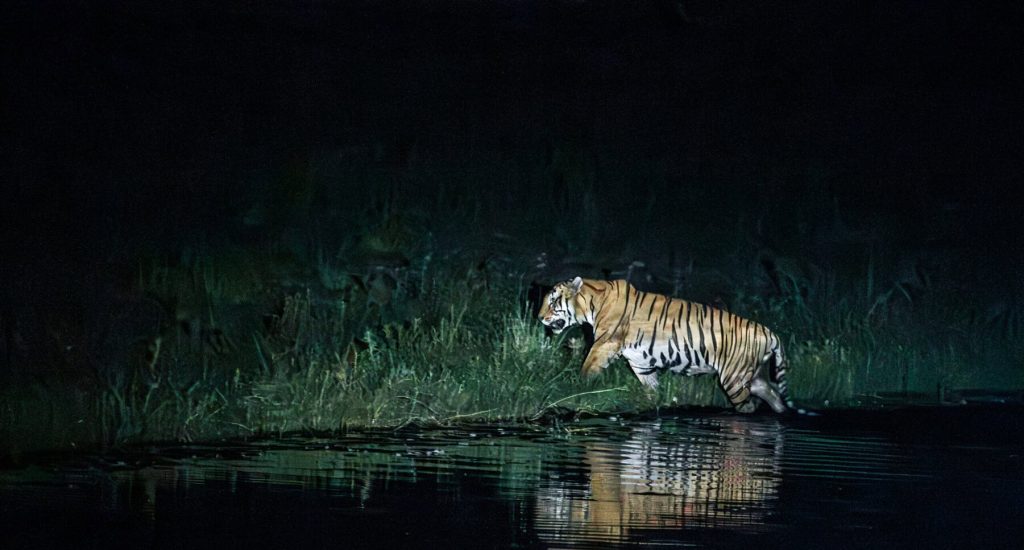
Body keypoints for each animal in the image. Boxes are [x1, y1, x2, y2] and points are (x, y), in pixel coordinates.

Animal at [538, 277, 798, 413]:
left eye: (552, 302)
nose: (539, 317)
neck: (593, 303)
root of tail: (769, 331)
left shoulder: (605, 344)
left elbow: (587, 368)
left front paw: (576, 389)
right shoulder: (640, 362)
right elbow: (651, 387)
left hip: (734, 379)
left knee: (749, 407)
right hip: (752, 377)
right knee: (772, 393)